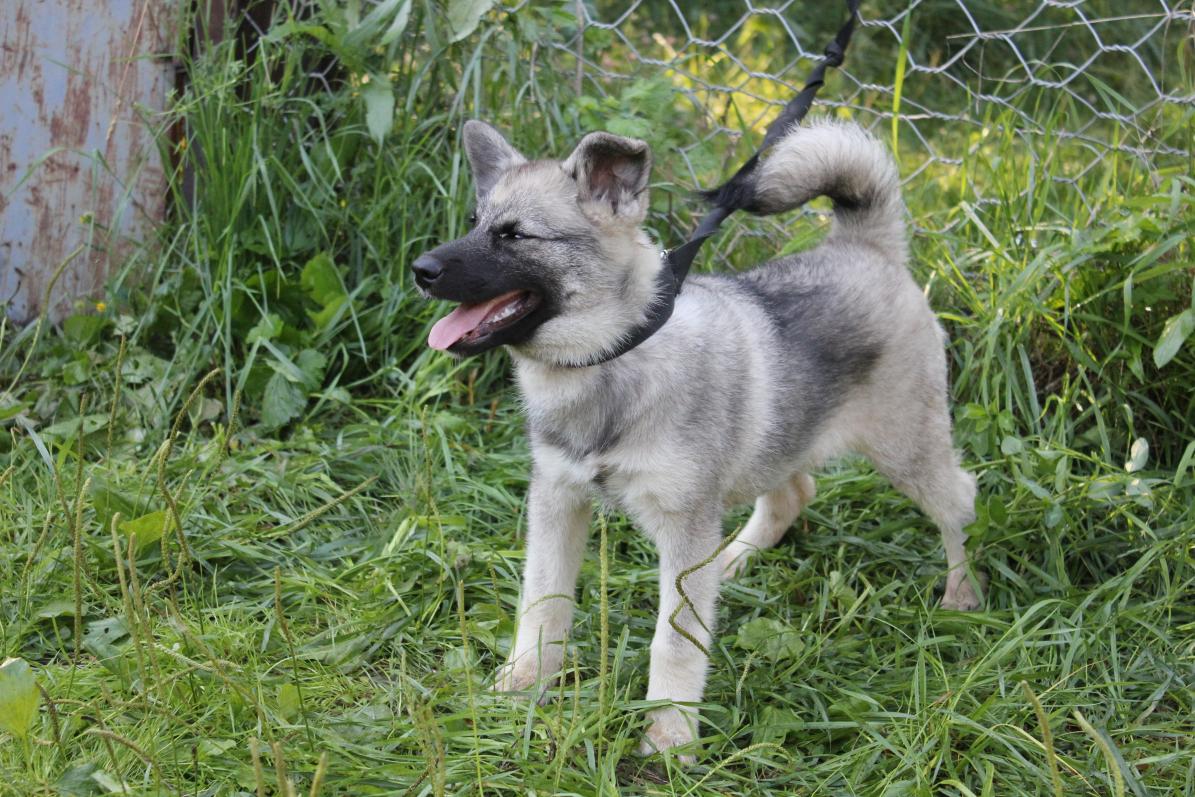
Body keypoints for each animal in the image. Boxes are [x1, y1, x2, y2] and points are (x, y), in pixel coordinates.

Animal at [413, 118, 981, 760]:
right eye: (475, 223)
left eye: (513, 236)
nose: (420, 269)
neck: (612, 357)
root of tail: (866, 247)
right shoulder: (557, 501)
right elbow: (543, 603)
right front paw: (521, 686)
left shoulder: (682, 529)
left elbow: (676, 641)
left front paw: (669, 736)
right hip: (782, 439)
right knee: (794, 494)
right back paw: (733, 558)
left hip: (907, 449)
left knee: (958, 501)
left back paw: (961, 593)